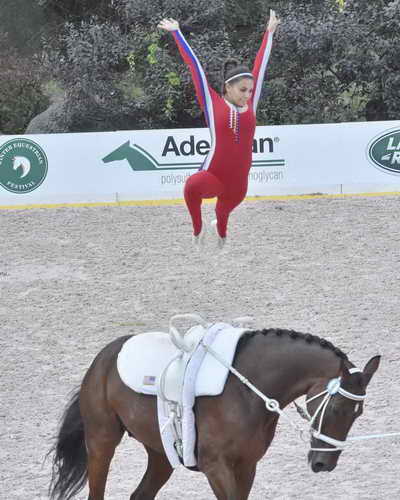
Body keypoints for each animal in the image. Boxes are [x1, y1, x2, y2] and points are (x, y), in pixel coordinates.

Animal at [50, 328, 382, 500]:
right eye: (336, 408)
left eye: (359, 413)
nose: (324, 464)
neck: (247, 391)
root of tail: (104, 357)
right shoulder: (216, 467)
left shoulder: (246, 466)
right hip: (101, 442)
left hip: (160, 454)